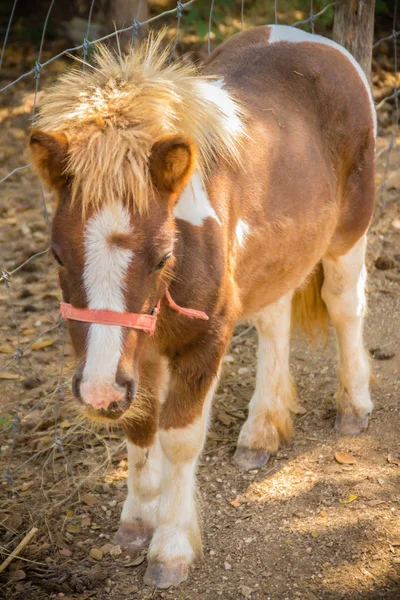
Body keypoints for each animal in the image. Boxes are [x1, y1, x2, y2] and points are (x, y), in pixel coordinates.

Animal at [29, 27, 376, 584]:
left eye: (162, 256)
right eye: (57, 255)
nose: (98, 393)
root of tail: (314, 40)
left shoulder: (203, 341)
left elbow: (178, 438)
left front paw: (170, 549)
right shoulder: (138, 358)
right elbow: (139, 427)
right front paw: (135, 524)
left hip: (349, 232)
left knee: (345, 306)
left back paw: (353, 408)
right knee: (274, 321)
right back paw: (260, 434)